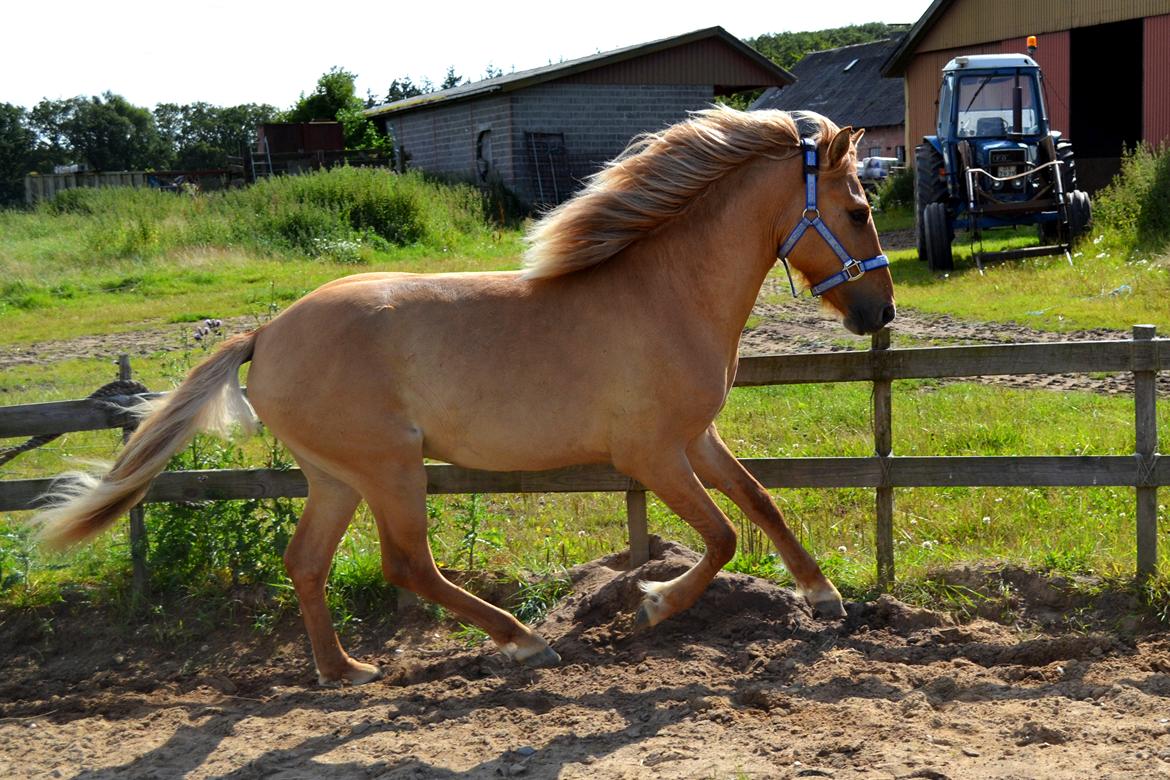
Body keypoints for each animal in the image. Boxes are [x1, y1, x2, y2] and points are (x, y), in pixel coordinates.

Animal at [36, 107, 893, 687]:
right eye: (857, 210)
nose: (880, 313)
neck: (665, 293)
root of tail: (266, 332)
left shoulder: (695, 439)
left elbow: (760, 502)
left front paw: (824, 598)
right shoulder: (650, 453)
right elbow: (721, 537)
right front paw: (651, 603)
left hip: (335, 477)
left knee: (306, 562)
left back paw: (343, 671)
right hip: (389, 468)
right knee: (406, 563)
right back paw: (522, 642)